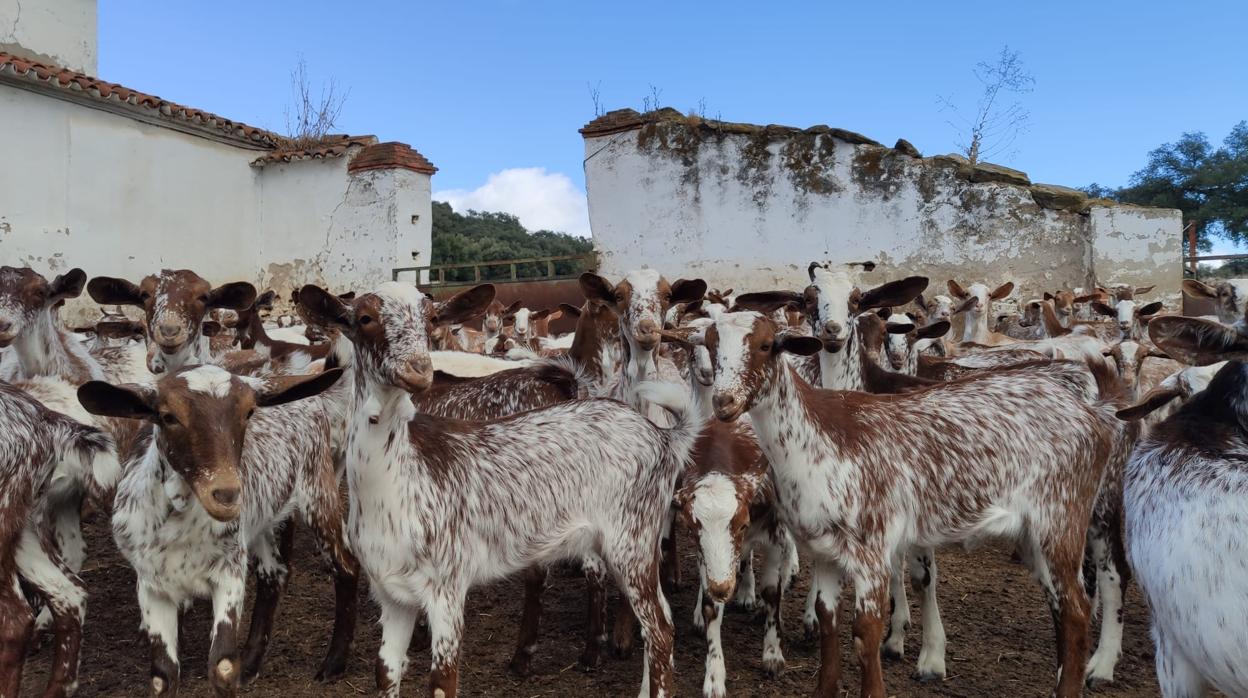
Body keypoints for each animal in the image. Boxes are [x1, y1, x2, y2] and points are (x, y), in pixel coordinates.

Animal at [295, 282, 698, 698]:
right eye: (364, 318)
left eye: (431, 319)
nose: (418, 370)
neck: (394, 486)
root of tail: (665, 437)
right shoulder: (391, 596)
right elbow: (386, 673)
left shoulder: (447, 588)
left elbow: (443, 680)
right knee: (660, 623)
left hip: (632, 541)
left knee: (660, 629)